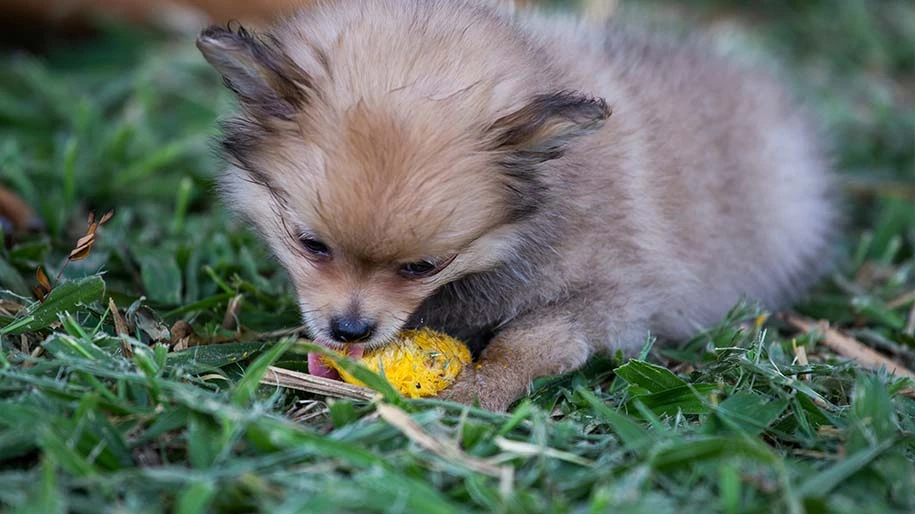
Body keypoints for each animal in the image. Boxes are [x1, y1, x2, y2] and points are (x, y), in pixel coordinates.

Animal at [199, 0, 836, 408]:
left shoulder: (614, 298)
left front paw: (483, 388)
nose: (350, 328)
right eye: (310, 244)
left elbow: (531, 340)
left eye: (423, 267)